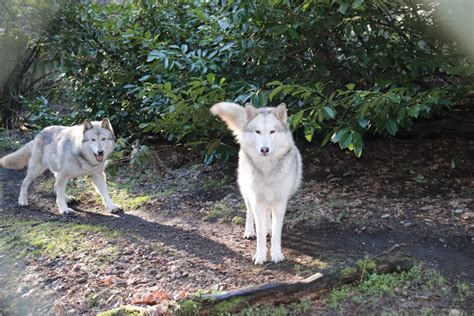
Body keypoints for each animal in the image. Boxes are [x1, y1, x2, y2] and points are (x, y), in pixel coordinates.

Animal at [212, 102, 304, 264]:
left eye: (272, 131)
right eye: (258, 132)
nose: (264, 149)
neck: (267, 168)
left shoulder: (280, 203)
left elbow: (276, 234)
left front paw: (276, 254)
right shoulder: (258, 202)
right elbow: (260, 235)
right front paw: (260, 256)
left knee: (268, 217)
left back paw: (269, 228)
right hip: (248, 194)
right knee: (250, 212)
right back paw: (249, 231)